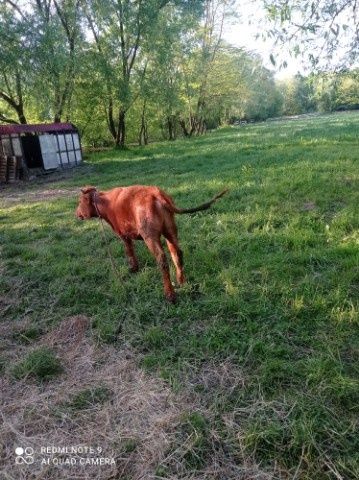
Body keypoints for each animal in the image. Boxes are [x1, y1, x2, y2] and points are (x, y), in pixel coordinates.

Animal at [75, 186, 228, 302]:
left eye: (80, 201)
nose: (76, 213)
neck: (106, 202)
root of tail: (156, 193)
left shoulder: (124, 235)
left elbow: (129, 251)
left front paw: (133, 268)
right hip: (170, 231)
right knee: (177, 254)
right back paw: (181, 282)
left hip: (150, 236)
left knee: (162, 259)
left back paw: (170, 294)